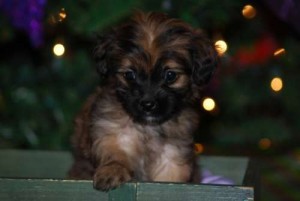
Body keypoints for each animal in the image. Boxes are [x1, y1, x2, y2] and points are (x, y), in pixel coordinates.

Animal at [69, 11, 217, 191]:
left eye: (170, 75)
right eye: (129, 75)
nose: (147, 105)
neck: (147, 128)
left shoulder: (172, 155)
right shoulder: (112, 134)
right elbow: (113, 153)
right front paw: (112, 171)